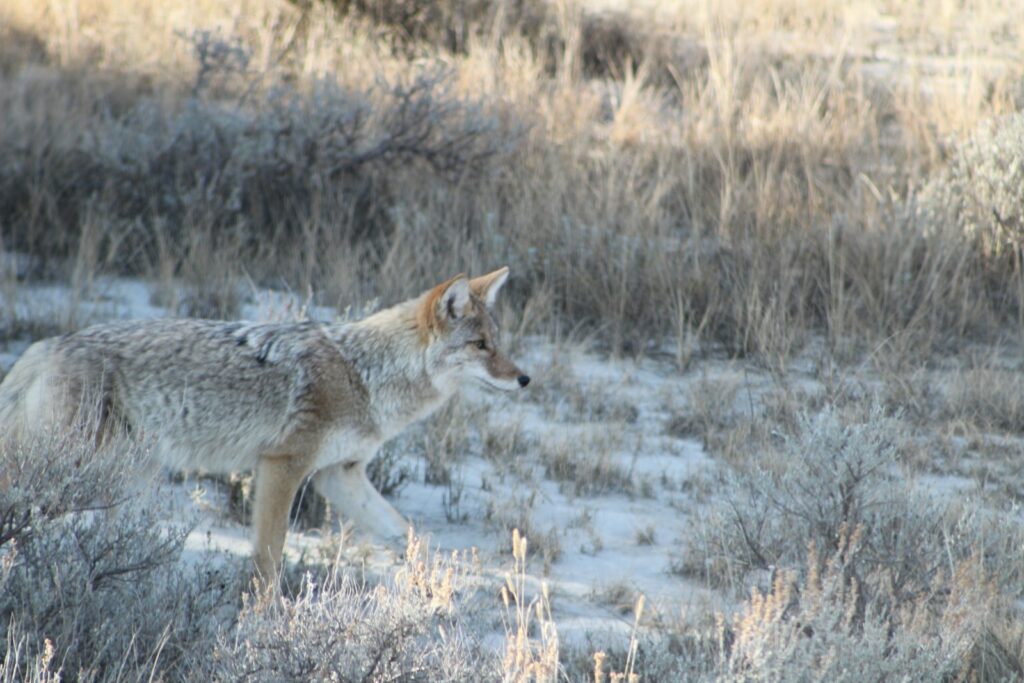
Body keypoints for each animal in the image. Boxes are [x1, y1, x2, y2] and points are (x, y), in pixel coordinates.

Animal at [0, 267, 529, 586]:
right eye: (480, 345)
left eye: (499, 342)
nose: (525, 379)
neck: (365, 373)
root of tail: (44, 346)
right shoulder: (281, 466)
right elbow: (269, 561)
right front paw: (262, 622)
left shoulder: (339, 475)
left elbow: (410, 536)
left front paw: (436, 583)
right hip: (66, 472)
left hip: (126, 485)